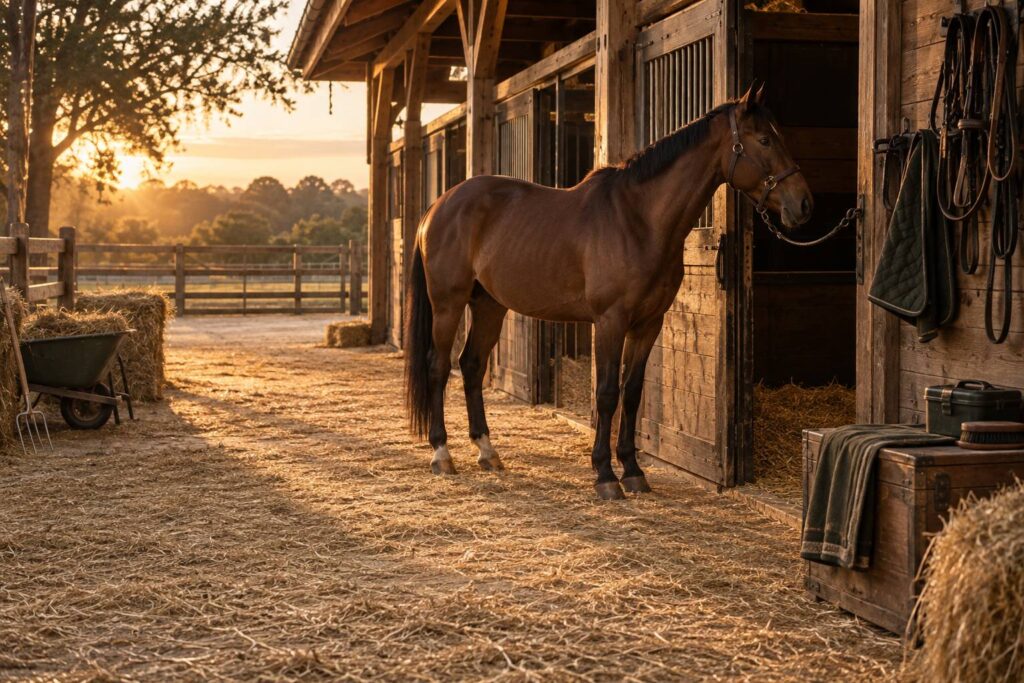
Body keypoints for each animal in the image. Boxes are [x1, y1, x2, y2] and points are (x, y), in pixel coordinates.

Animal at [404, 83, 813, 500]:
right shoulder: (610, 321)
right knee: (438, 366)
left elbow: (631, 393)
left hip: (489, 306)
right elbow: (606, 393)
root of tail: (437, 207)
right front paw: (604, 474)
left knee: (471, 366)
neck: (638, 220)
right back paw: (441, 454)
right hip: (448, 304)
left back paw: (487, 452)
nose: (803, 204)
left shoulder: (648, 323)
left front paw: (632, 471)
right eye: (764, 139)